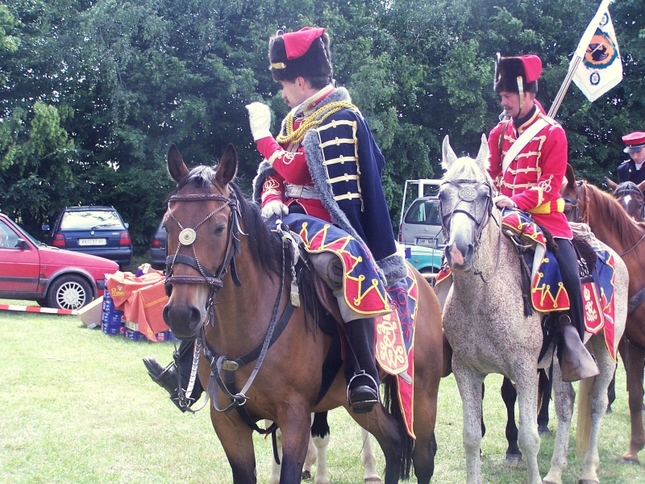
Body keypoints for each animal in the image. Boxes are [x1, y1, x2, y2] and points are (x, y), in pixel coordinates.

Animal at [161, 145, 442, 484]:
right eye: (168, 225)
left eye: (219, 227)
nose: (181, 314)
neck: (248, 323)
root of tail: (421, 281)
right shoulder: (227, 422)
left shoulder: (294, 417)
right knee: (393, 441)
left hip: (422, 393)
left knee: (423, 456)